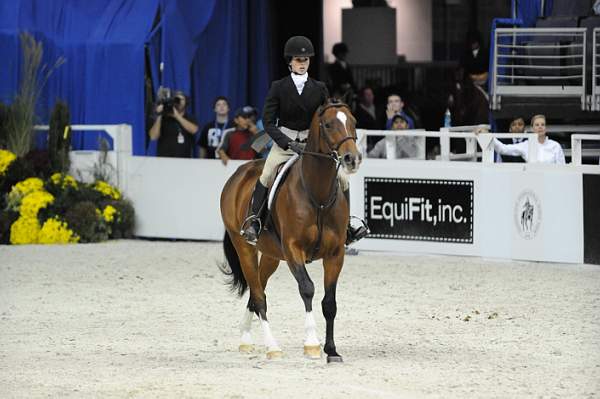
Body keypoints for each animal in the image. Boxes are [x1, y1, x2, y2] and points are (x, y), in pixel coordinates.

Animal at [219, 99, 360, 362]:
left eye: (353, 121)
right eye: (328, 124)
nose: (352, 158)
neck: (318, 194)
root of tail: (238, 174)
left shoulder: (335, 254)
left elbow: (330, 302)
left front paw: (331, 350)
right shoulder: (294, 249)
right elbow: (307, 289)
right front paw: (312, 344)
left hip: (272, 256)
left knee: (257, 291)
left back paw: (245, 339)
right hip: (244, 248)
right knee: (259, 296)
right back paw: (272, 347)